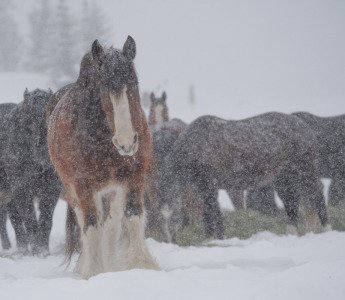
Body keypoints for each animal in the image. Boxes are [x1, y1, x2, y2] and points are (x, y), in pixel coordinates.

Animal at [0, 88, 60, 253]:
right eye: (28, 117)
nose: (45, 155)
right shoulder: (21, 190)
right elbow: (29, 221)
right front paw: (36, 250)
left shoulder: (51, 190)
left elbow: (46, 221)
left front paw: (43, 250)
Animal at [47, 36, 159, 278]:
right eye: (104, 86)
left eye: (134, 81)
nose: (127, 142)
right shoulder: (83, 186)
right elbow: (91, 226)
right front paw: (94, 272)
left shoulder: (134, 178)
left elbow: (132, 218)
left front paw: (138, 265)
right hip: (72, 189)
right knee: (86, 221)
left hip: (113, 190)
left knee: (112, 223)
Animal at [167, 113, 330, 240]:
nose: (173, 237)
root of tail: (305, 128)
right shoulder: (201, 187)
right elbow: (208, 214)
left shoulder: (208, 185)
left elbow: (213, 212)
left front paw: (218, 239)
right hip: (283, 178)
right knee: (291, 202)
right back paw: (291, 233)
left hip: (305, 172)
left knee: (316, 195)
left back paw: (326, 228)